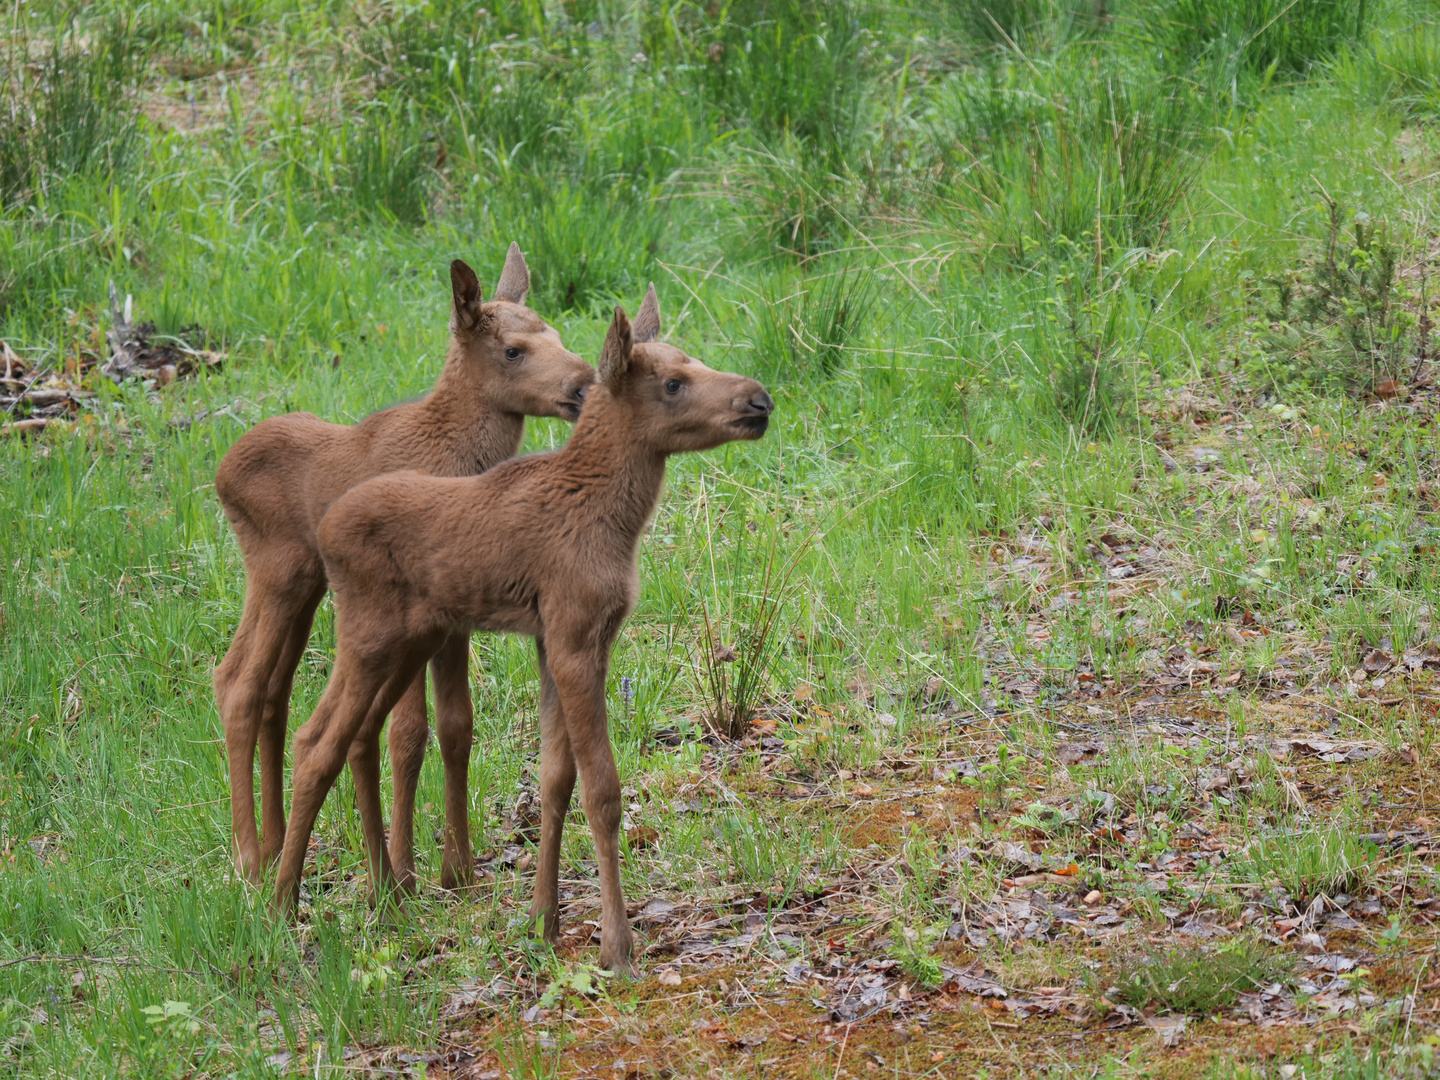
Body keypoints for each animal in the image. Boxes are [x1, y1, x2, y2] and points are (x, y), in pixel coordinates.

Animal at [280, 292, 777, 979]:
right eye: (673, 384)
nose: (759, 399)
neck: (616, 521)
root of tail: (325, 530)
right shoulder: (573, 637)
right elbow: (603, 791)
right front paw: (616, 945)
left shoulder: (562, 642)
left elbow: (554, 780)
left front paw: (544, 919)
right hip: (368, 636)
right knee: (313, 742)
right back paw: (278, 904)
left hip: (410, 641)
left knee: (355, 737)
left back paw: (385, 892)